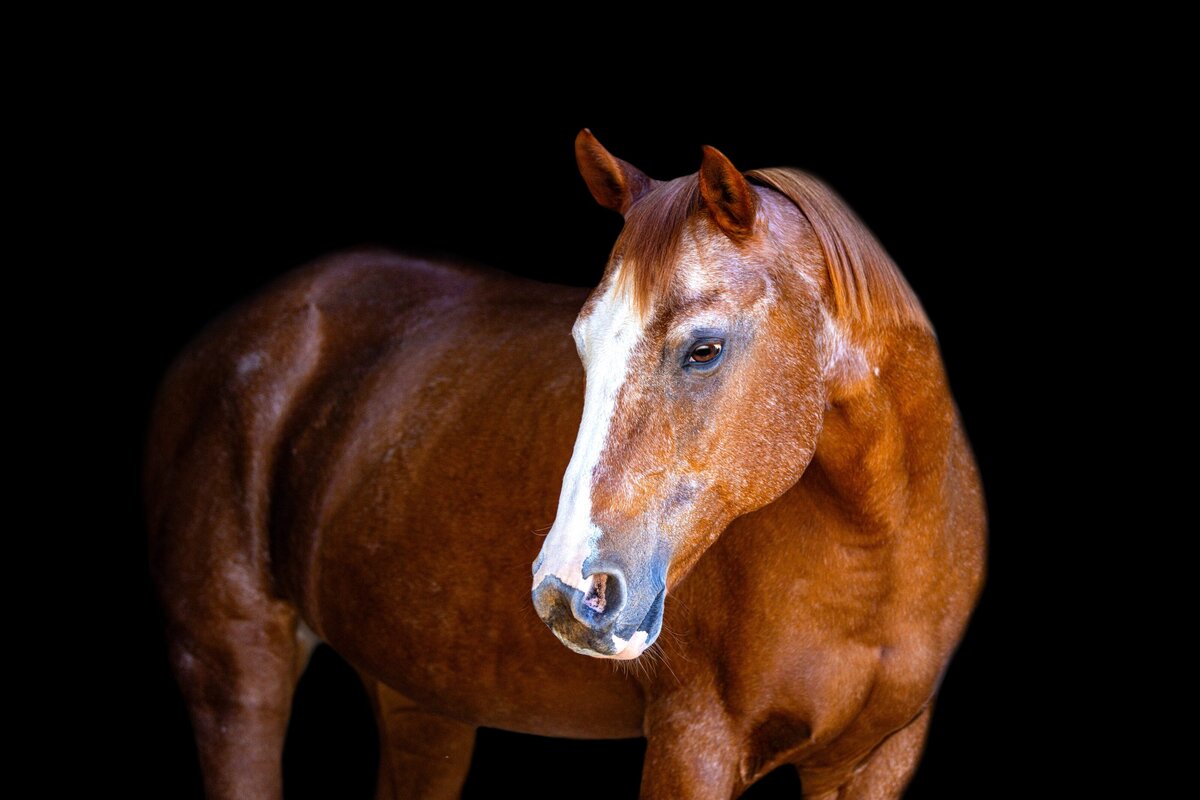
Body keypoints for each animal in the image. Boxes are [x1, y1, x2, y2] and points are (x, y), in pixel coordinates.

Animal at [146, 130, 985, 799]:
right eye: (582, 343)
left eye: (705, 348)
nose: (567, 591)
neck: (877, 552)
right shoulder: (693, 744)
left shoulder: (875, 761)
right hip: (235, 675)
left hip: (419, 702)